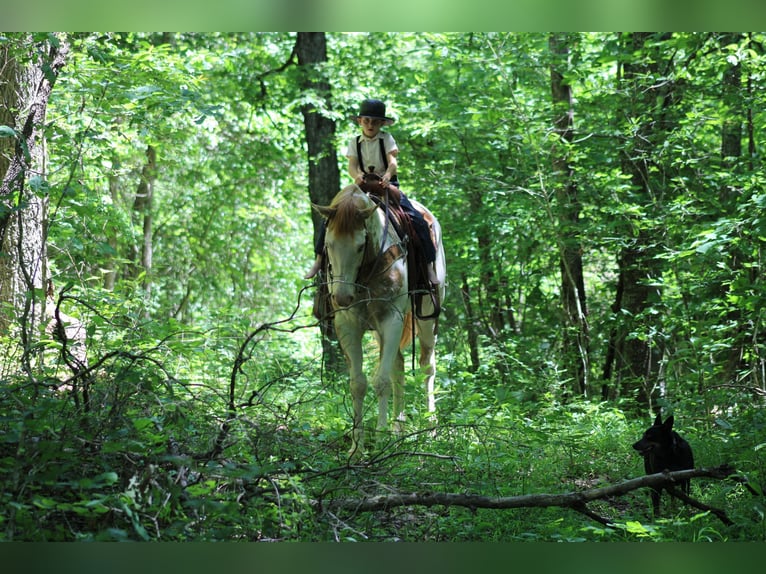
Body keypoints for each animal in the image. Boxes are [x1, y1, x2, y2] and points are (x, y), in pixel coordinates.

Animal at [312, 184, 448, 460]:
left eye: (360, 246)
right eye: (328, 244)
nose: (342, 297)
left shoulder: (391, 320)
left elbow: (381, 381)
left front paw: (381, 438)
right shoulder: (348, 325)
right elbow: (358, 384)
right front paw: (357, 447)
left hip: (426, 320)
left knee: (427, 367)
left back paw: (430, 427)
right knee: (399, 367)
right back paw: (398, 427)